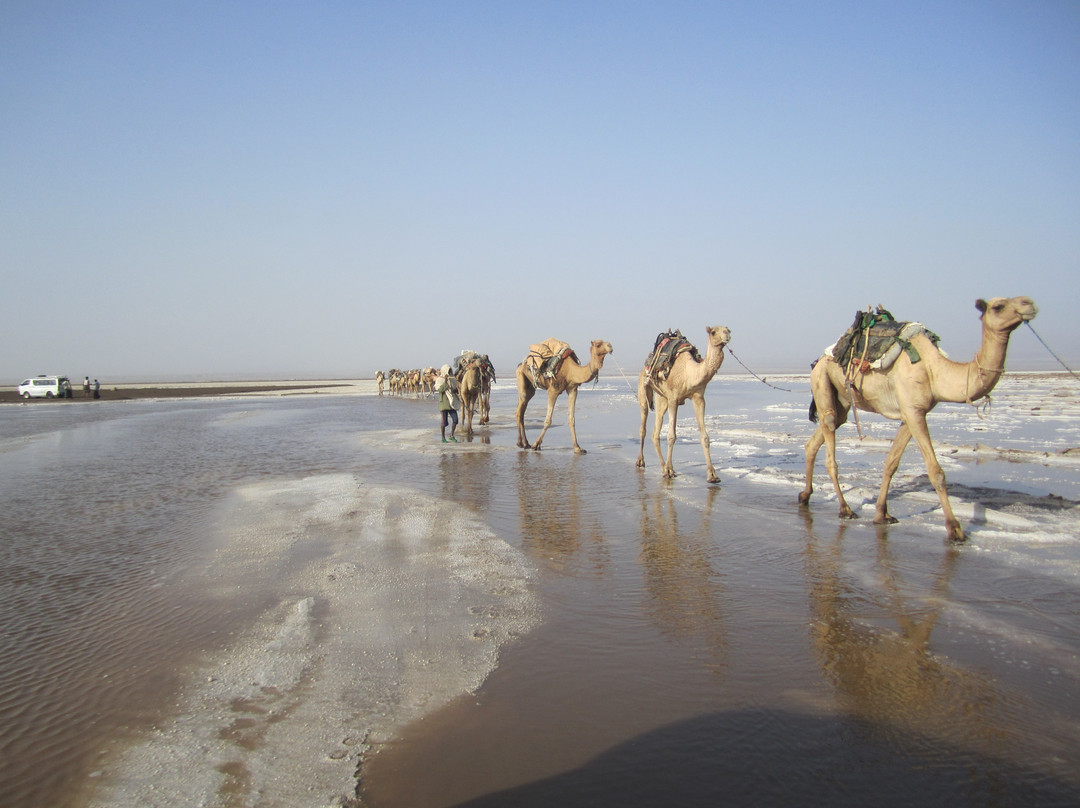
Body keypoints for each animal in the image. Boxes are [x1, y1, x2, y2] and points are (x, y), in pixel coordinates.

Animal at [635, 324, 730, 483]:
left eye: (728, 330)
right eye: (713, 332)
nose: (727, 336)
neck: (689, 373)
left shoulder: (699, 398)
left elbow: (705, 437)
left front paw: (713, 475)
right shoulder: (674, 399)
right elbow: (671, 436)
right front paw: (670, 471)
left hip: (661, 398)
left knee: (656, 432)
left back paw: (663, 466)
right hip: (644, 387)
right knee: (643, 424)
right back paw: (642, 462)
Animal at [803, 295, 1036, 542]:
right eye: (999, 306)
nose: (1028, 303)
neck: (933, 370)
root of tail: (821, 358)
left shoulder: (911, 413)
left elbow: (891, 463)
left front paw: (882, 514)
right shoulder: (914, 412)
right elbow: (936, 472)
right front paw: (955, 529)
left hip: (844, 400)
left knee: (817, 439)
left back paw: (805, 495)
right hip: (821, 381)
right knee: (830, 440)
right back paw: (845, 508)